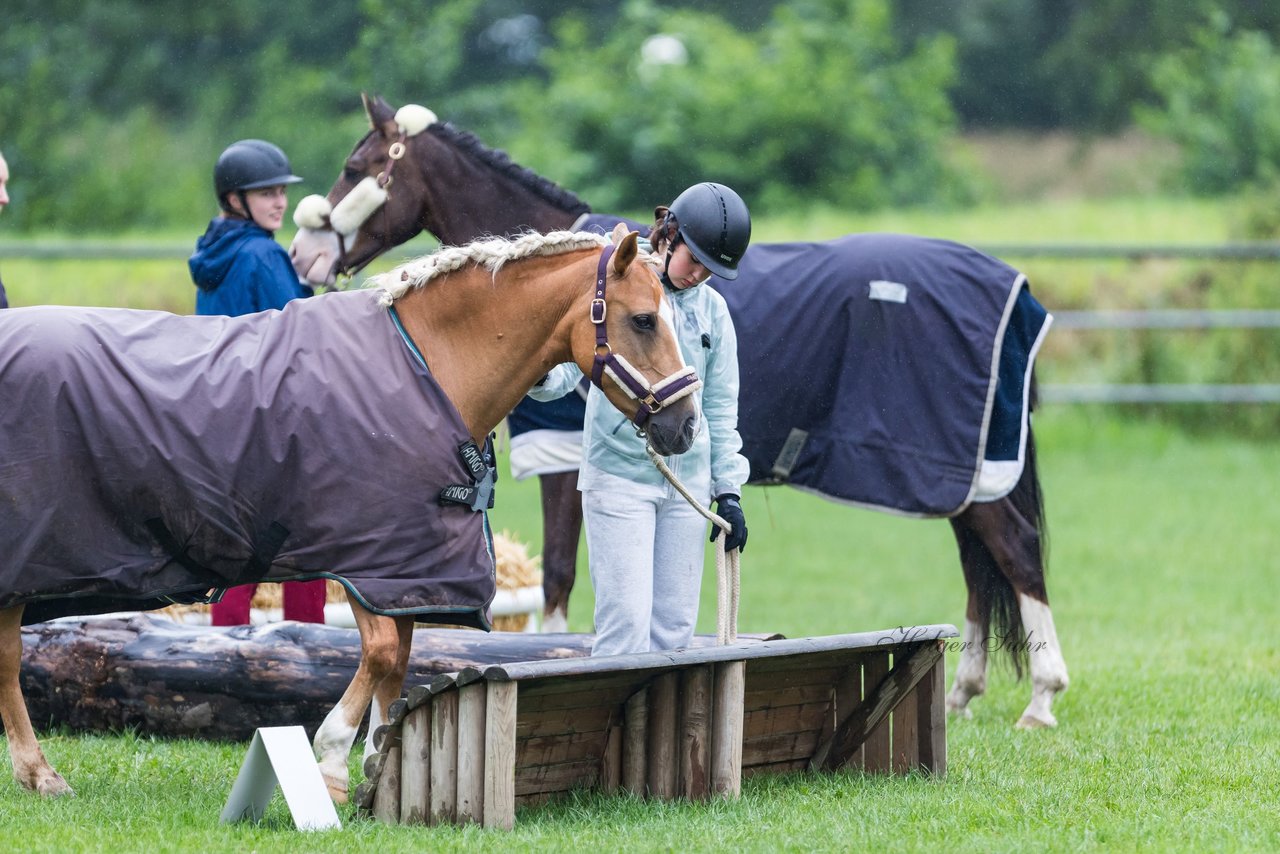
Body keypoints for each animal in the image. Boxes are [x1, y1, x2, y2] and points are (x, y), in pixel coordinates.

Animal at [2, 229, 701, 804]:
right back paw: (40, 774)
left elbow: (402, 661)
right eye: (644, 319)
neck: (428, 365)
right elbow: (385, 655)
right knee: (10, 657)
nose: (686, 427)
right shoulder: (368, 560)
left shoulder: (411, 569)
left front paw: (380, 762)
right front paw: (332, 763)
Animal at [290, 96, 1070, 732]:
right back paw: (965, 691)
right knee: (981, 560)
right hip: (973, 474)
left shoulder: (561, 457)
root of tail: (1017, 286)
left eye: (355, 165)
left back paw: (1041, 696)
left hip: (972, 469)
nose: (304, 253)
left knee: (1016, 549)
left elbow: (559, 573)